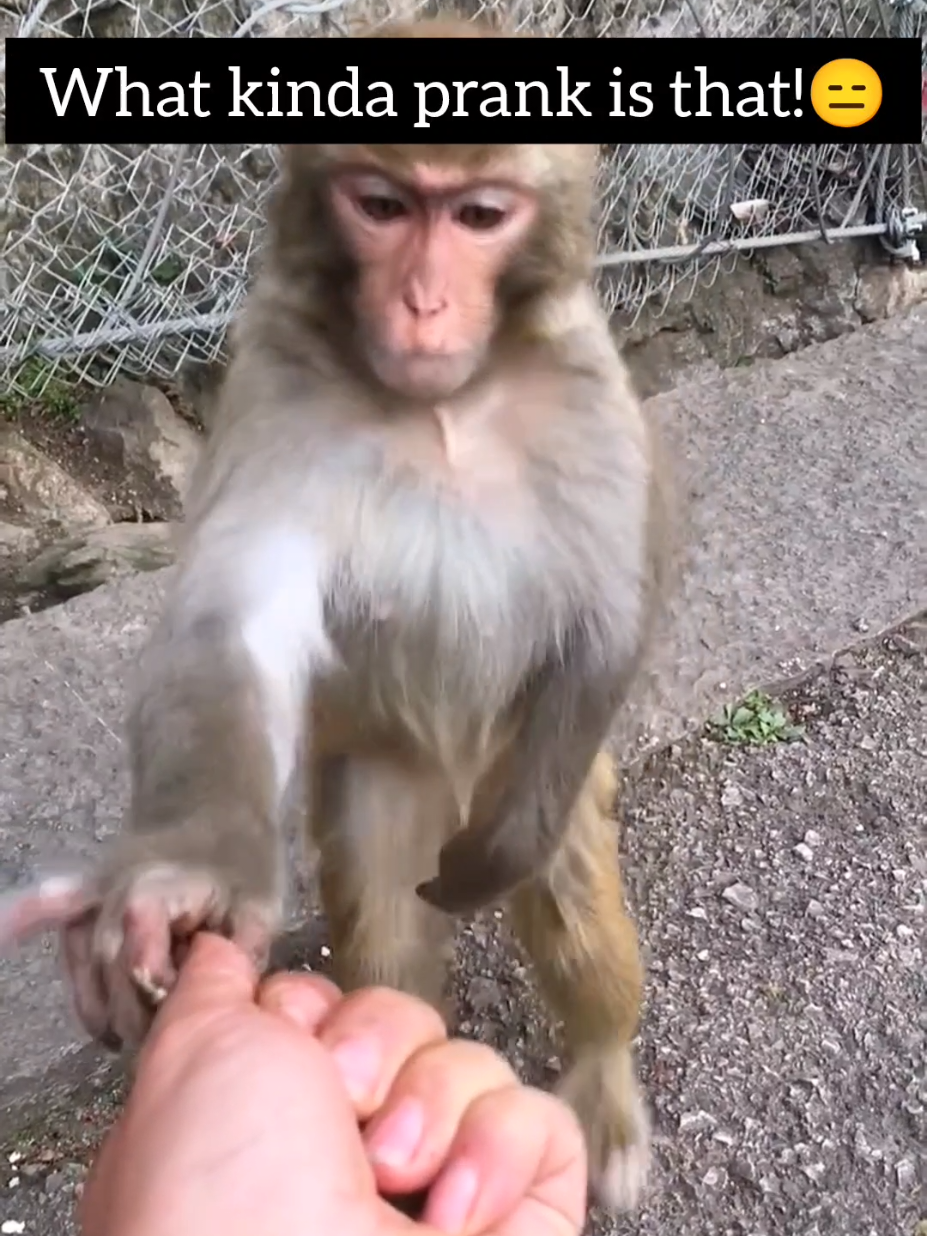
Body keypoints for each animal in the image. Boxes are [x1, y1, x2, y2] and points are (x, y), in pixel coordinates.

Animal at [0, 17, 674, 1215]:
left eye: (478, 215)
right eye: (383, 204)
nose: (422, 303)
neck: (446, 403)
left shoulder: (589, 387)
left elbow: (605, 613)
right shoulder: (276, 388)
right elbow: (231, 622)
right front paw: (186, 878)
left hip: (530, 768)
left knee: (571, 901)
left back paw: (598, 1069)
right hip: (374, 775)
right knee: (385, 931)